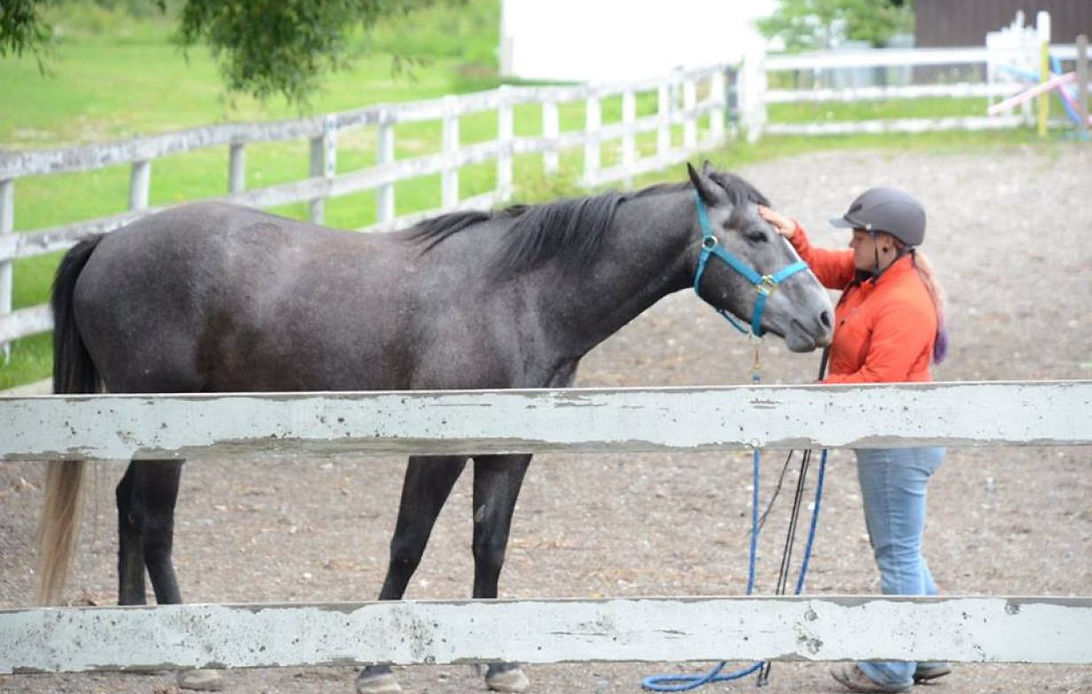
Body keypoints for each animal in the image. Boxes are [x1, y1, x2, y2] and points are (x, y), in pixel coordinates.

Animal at [37, 161, 833, 693]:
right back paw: (189, 660)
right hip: (163, 426)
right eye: (755, 234)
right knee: (153, 522)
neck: (520, 294)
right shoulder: (438, 446)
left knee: (130, 509)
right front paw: (377, 662)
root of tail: (107, 244)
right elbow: (408, 546)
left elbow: (489, 546)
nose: (824, 317)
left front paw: (496, 662)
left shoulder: (508, 450)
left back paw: (136, 643)